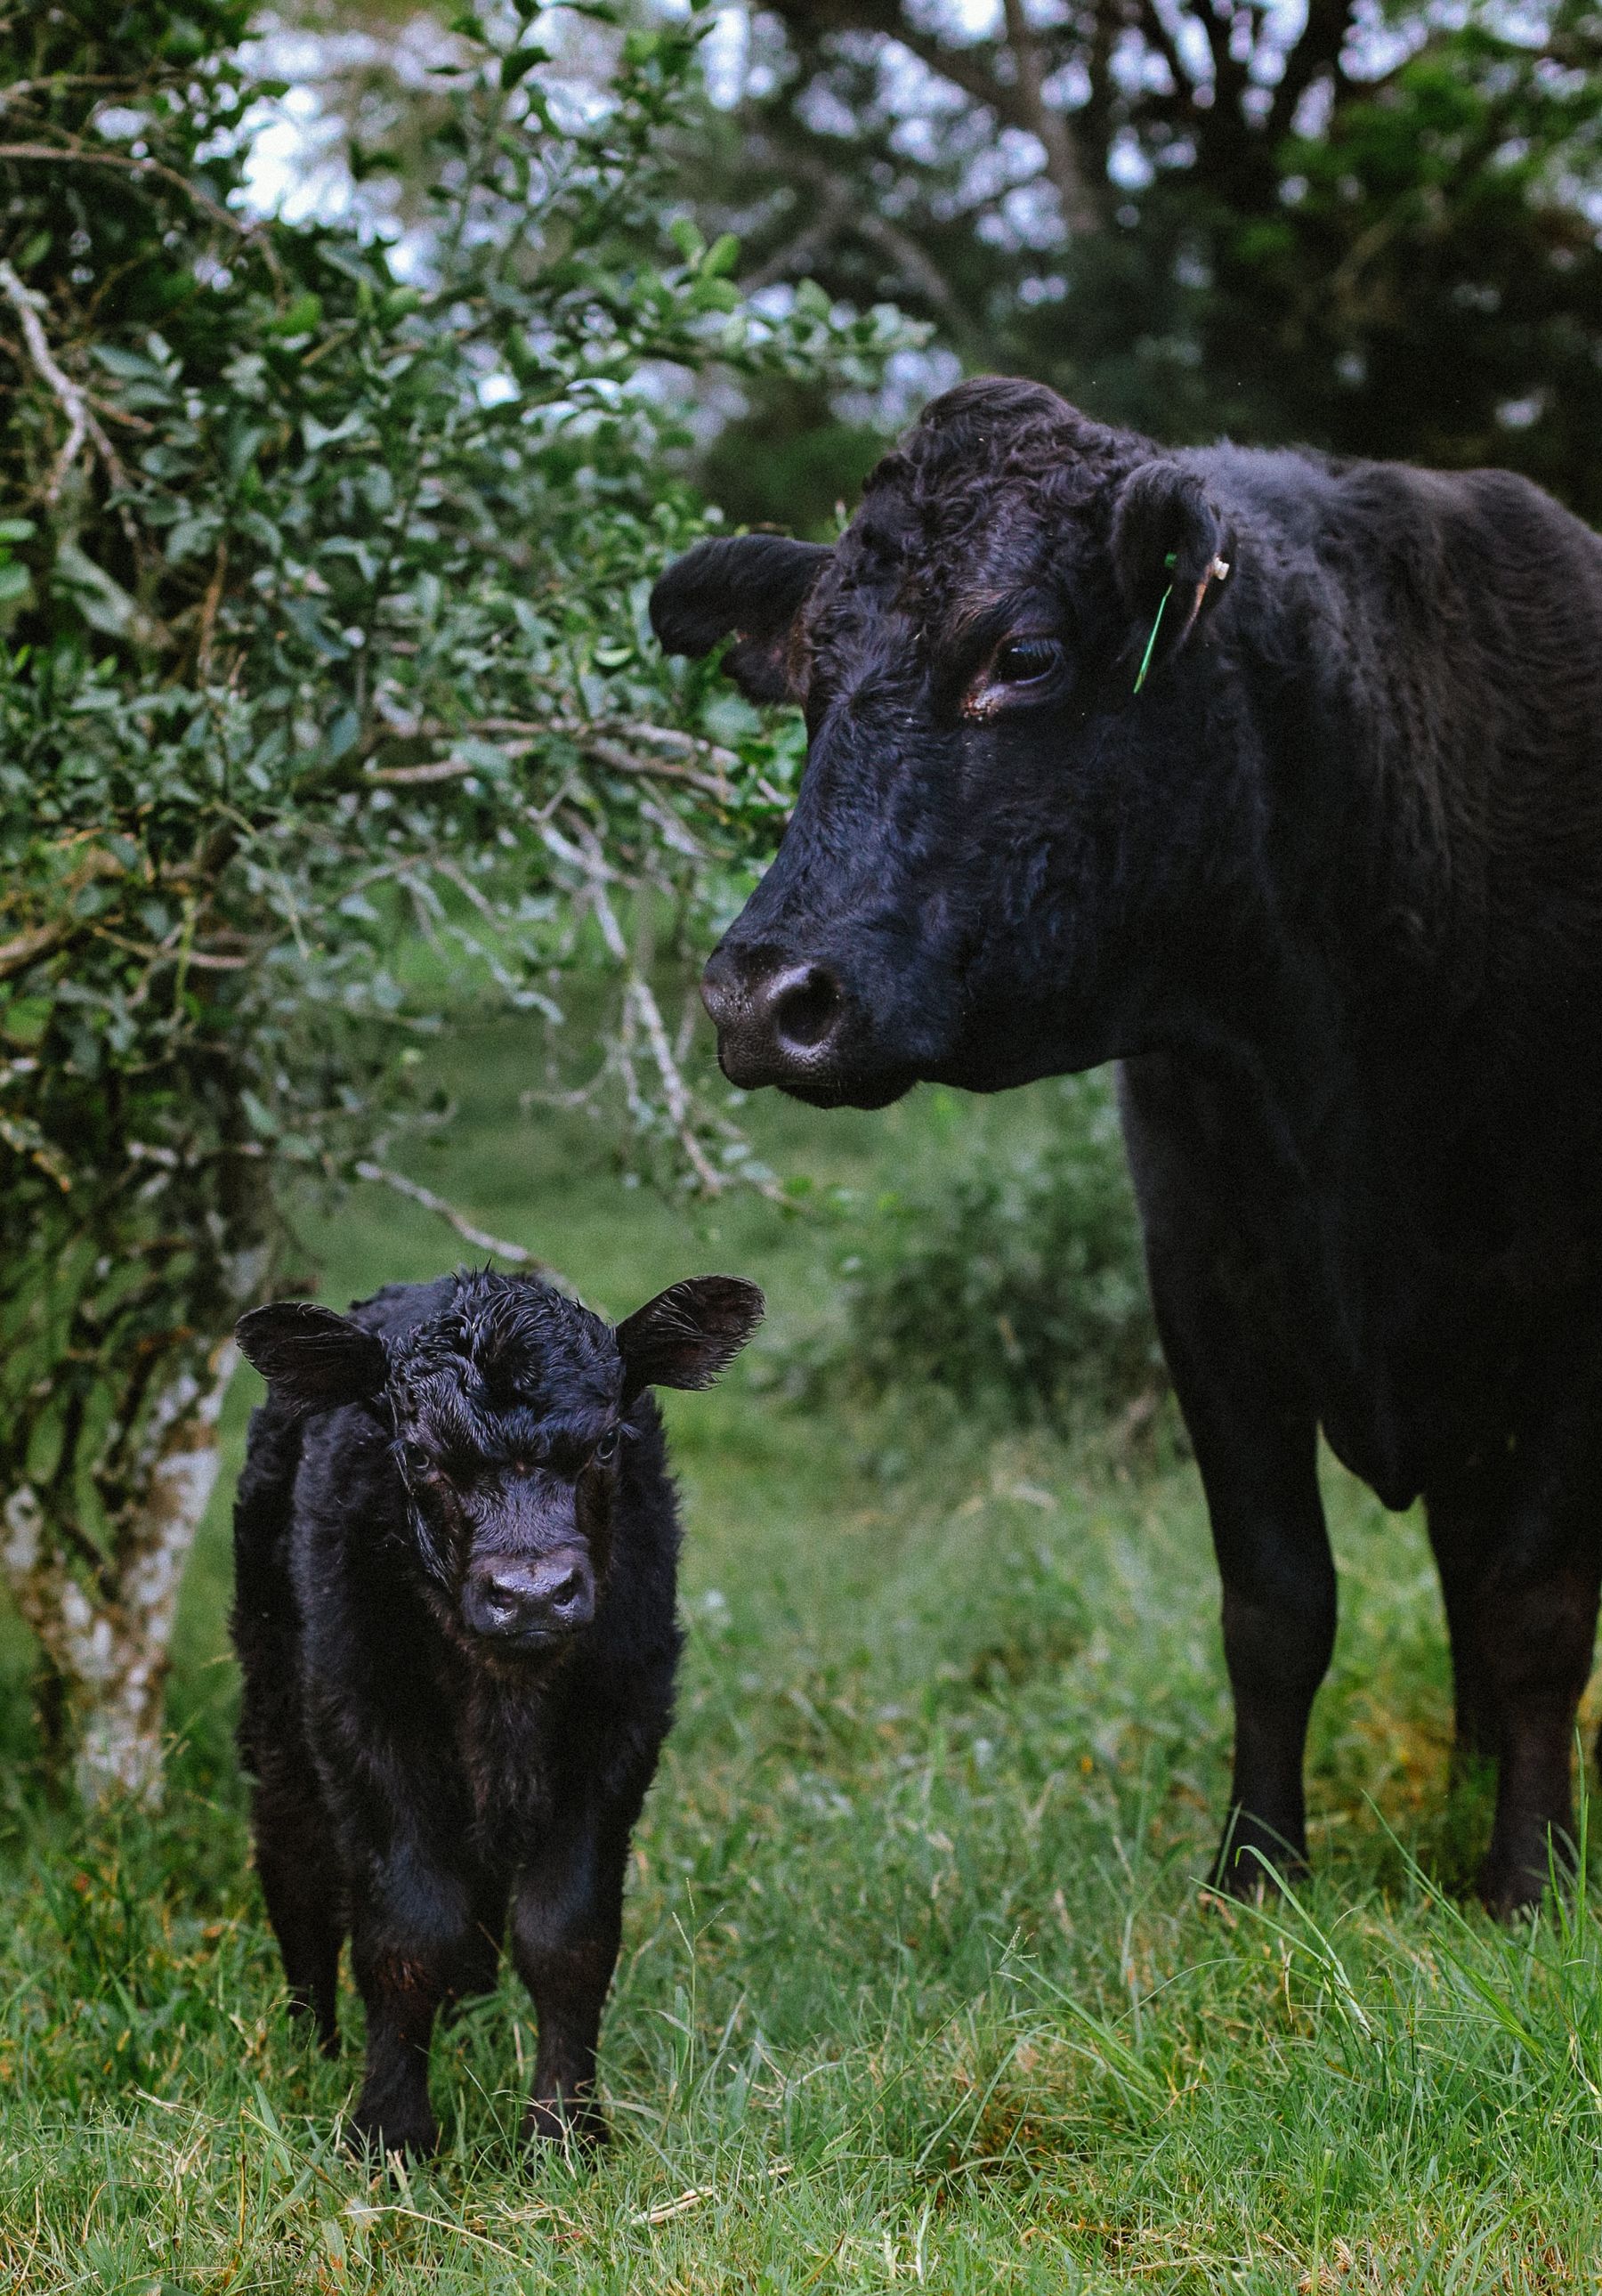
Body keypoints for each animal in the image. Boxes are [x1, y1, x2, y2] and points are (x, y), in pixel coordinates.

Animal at [231, 1266, 764, 2158]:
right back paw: (314, 2043)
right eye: (417, 1453)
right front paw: (391, 2133)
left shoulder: (621, 1729)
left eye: (607, 1443)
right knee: (295, 1854)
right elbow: (407, 1931)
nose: (533, 1592)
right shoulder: (364, 1722)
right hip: (276, 1696)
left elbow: (568, 1935)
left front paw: (564, 2132)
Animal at [649, 374, 1602, 1916]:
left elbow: (1536, 1601)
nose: (758, 996)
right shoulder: (1207, 1282)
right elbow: (1276, 1600)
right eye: (810, 678)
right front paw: (1255, 1870)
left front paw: (1529, 1879)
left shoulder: (1571, 1303)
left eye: (1023, 652)